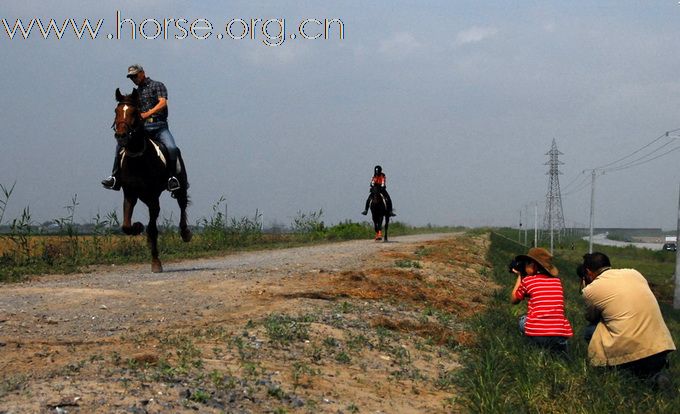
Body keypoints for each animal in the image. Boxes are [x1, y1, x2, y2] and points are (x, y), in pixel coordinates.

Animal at [112, 87, 191, 272]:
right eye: (116, 111)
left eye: (134, 112)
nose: (121, 136)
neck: (138, 159)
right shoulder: (130, 194)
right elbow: (126, 225)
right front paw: (137, 227)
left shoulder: (153, 196)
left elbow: (153, 229)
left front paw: (156, 262)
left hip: (180, 187)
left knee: (182, 205)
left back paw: (185, 233)